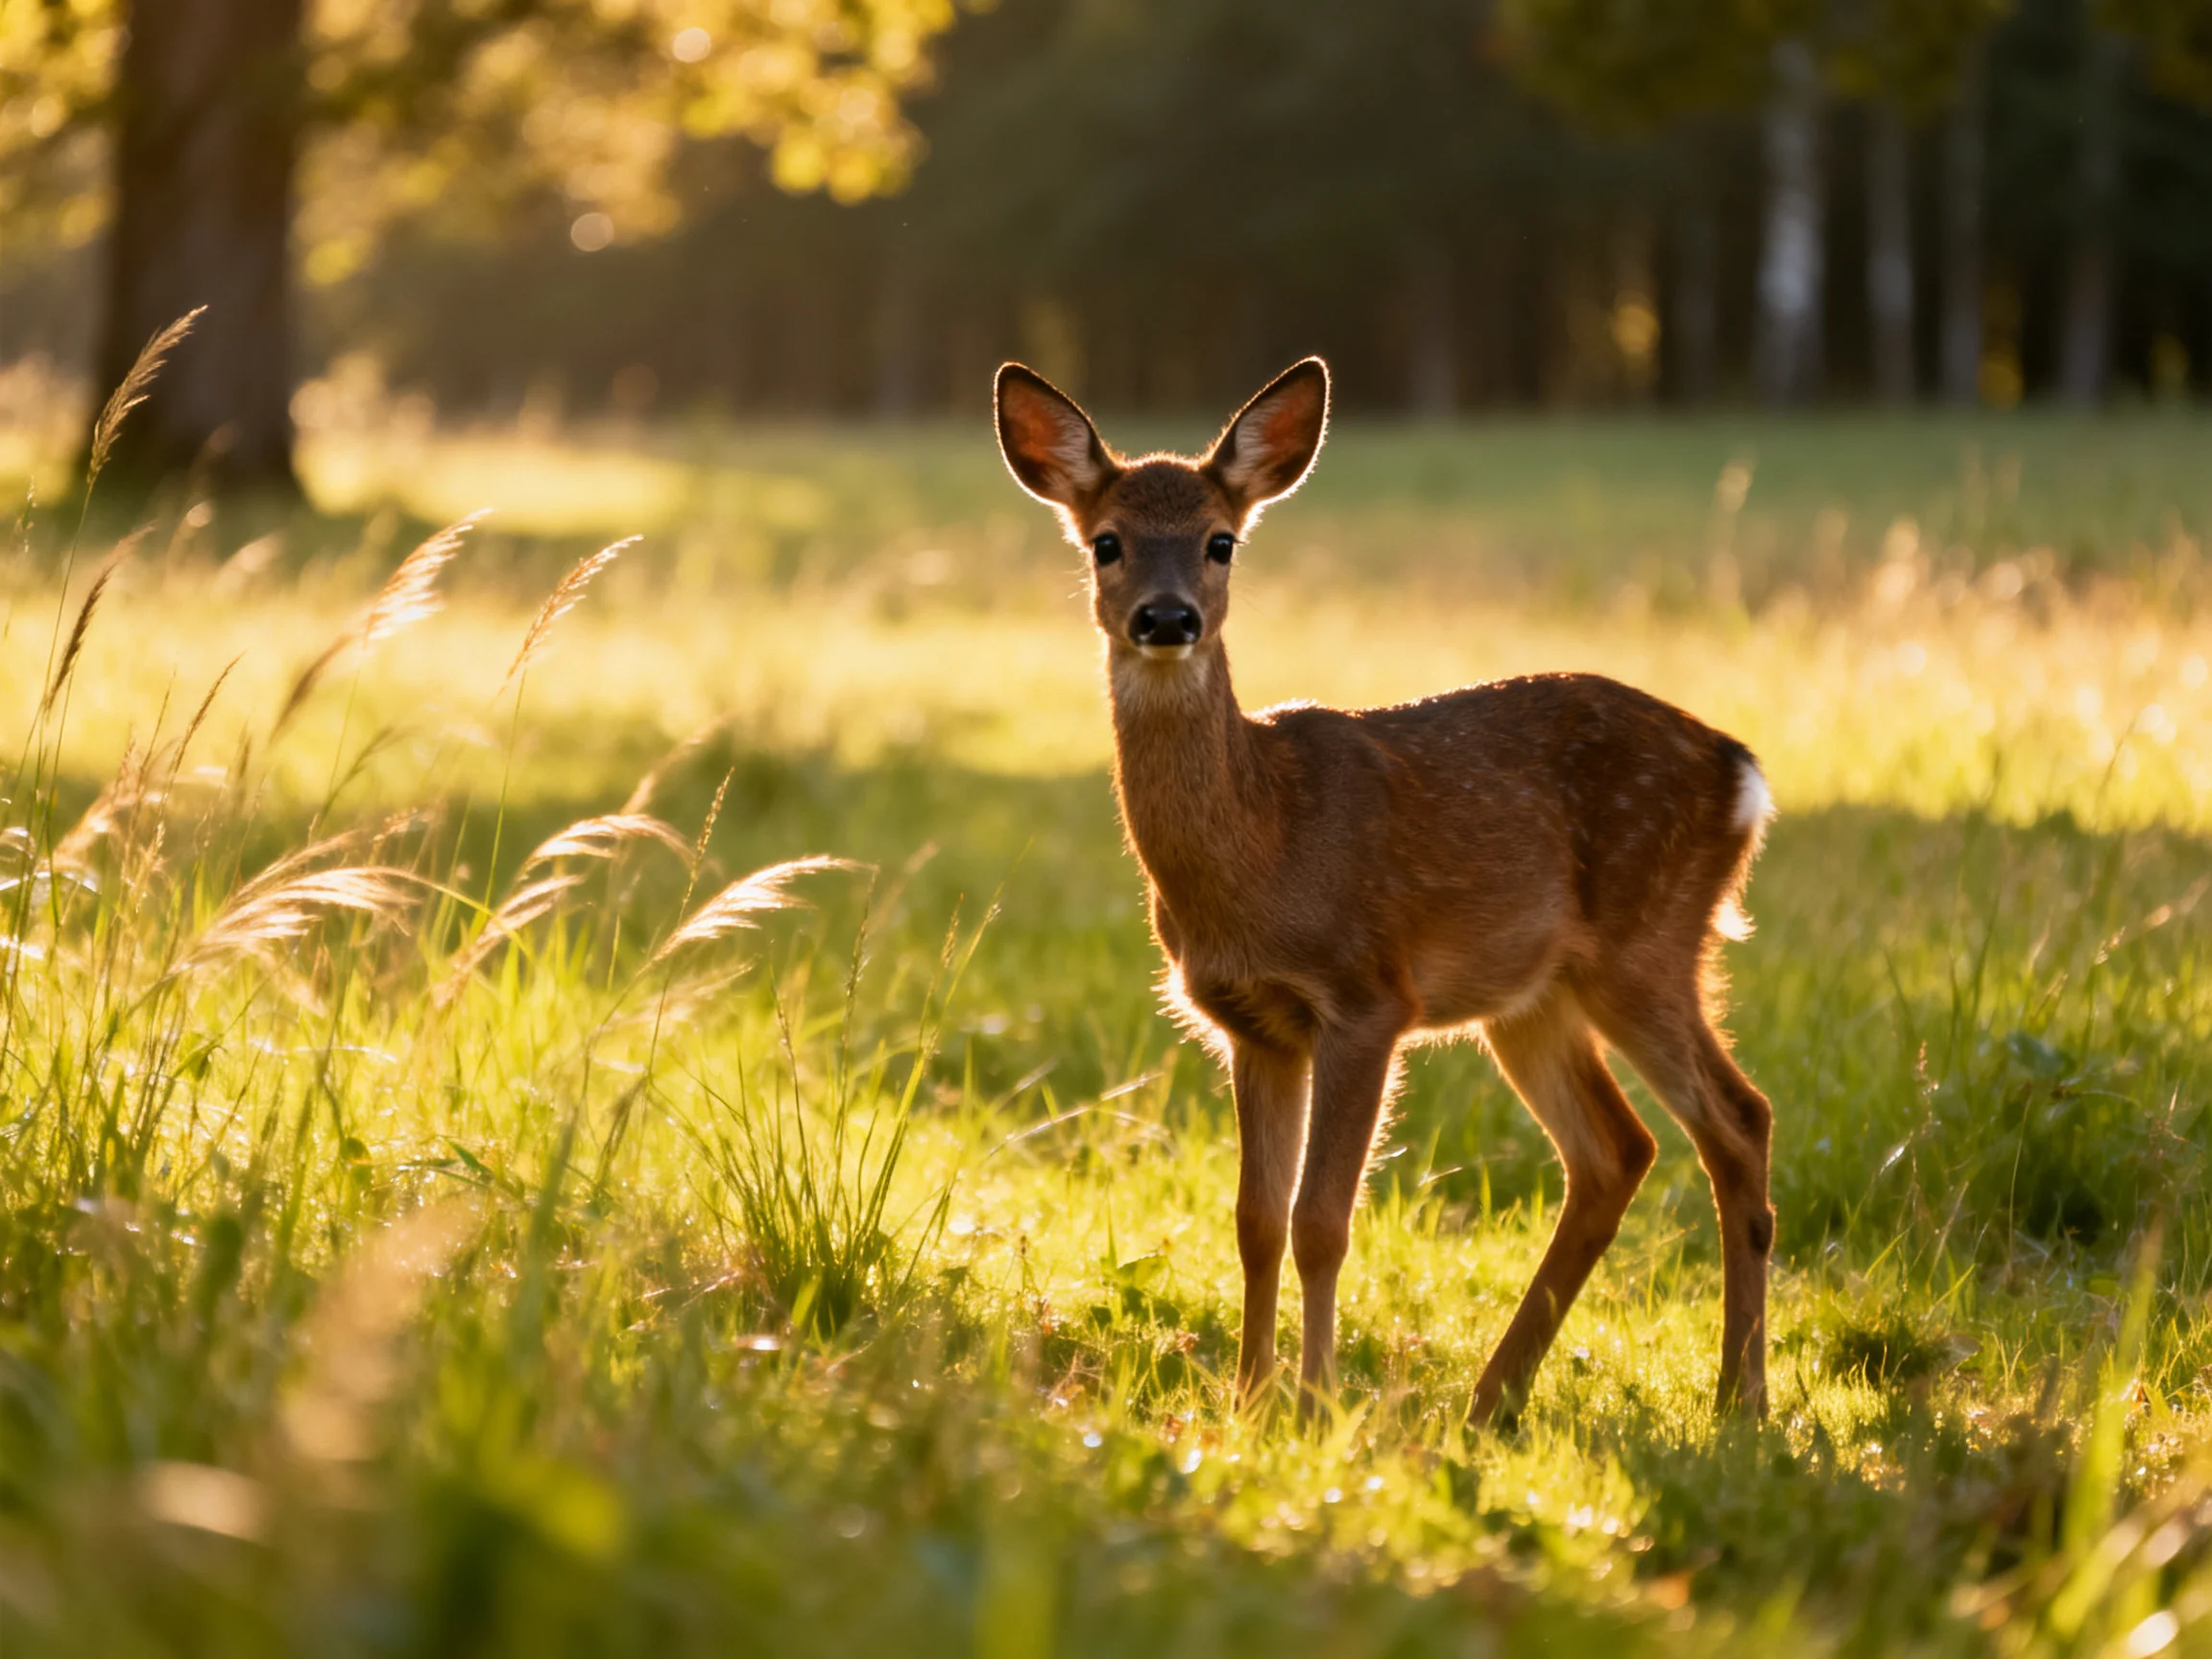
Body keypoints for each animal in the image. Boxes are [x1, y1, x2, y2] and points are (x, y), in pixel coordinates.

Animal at [993, 355, 1779, 1426]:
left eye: (1220, 542)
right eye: (1106, 541)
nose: (1166, 618)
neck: (1264, 847)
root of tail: (1741, 773)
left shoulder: (1367, 996)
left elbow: (1323, 1218)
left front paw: (1314, 1402)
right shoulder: (1252, 1024)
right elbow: (1254, 1218)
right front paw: (1249, 1400)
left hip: (1647, 942)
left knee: (1739, 1121)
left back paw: (1740, 1400)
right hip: (1534, 996)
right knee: (1616, 1151)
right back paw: (1492, 1399)